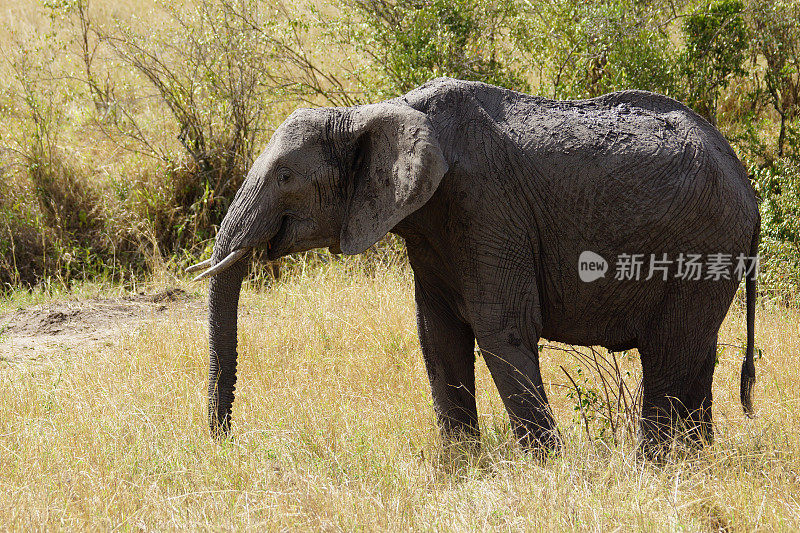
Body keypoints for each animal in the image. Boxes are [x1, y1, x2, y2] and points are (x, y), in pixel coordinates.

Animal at [189, 78, 764, 454]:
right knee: (696, 355)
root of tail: (746, 182)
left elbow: (501, 329)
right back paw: (696, 462)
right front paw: (463, 468)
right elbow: (436, 335)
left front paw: (545, 471)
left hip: (702, 242)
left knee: (670, 355)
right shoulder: (430, 225)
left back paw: (657, 466)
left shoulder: (487, 206)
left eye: (285, 176)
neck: (373, 112)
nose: (224, 444)